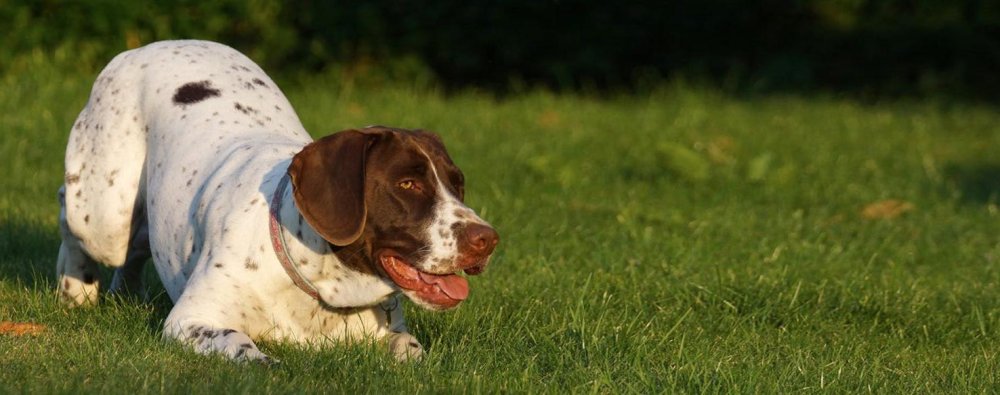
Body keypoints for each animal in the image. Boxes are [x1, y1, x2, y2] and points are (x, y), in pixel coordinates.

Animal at [52, 39, 498, 362]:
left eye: (458, 184)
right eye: (407, 184)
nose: (487, 239)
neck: (322, 283)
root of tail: (143, 48)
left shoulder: (391, 333)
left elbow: (411, 349)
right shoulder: (191, 320)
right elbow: (242, 347)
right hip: (103, 214)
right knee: (72, 213)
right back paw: (76, 290)